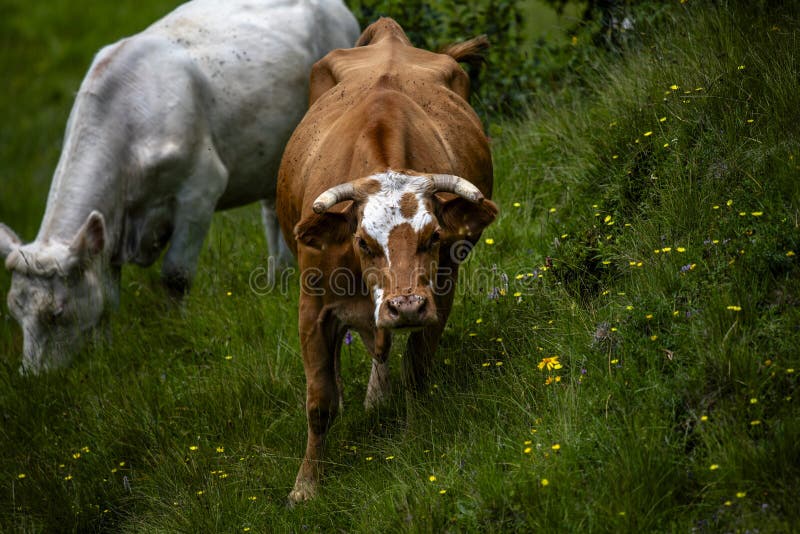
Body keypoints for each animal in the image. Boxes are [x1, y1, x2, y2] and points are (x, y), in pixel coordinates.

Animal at [0, 0, 360, 374]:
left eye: (56, 313)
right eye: (14, 313)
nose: (34, 376)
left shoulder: (200, 190)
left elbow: (176, 275)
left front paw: (177, 328)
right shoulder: (112, 226)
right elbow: (108, 297)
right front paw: (105, 350)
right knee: (274, 213)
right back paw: (280, 279)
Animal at [278, 15, 496, 502]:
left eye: (434, 236)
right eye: (362, 242)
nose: (406, 305)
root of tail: (390, 34)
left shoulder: (440, 294)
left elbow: (416, 368)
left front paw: (416, 436)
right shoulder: (311, 309)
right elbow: (318, 401)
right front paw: (306, 485)